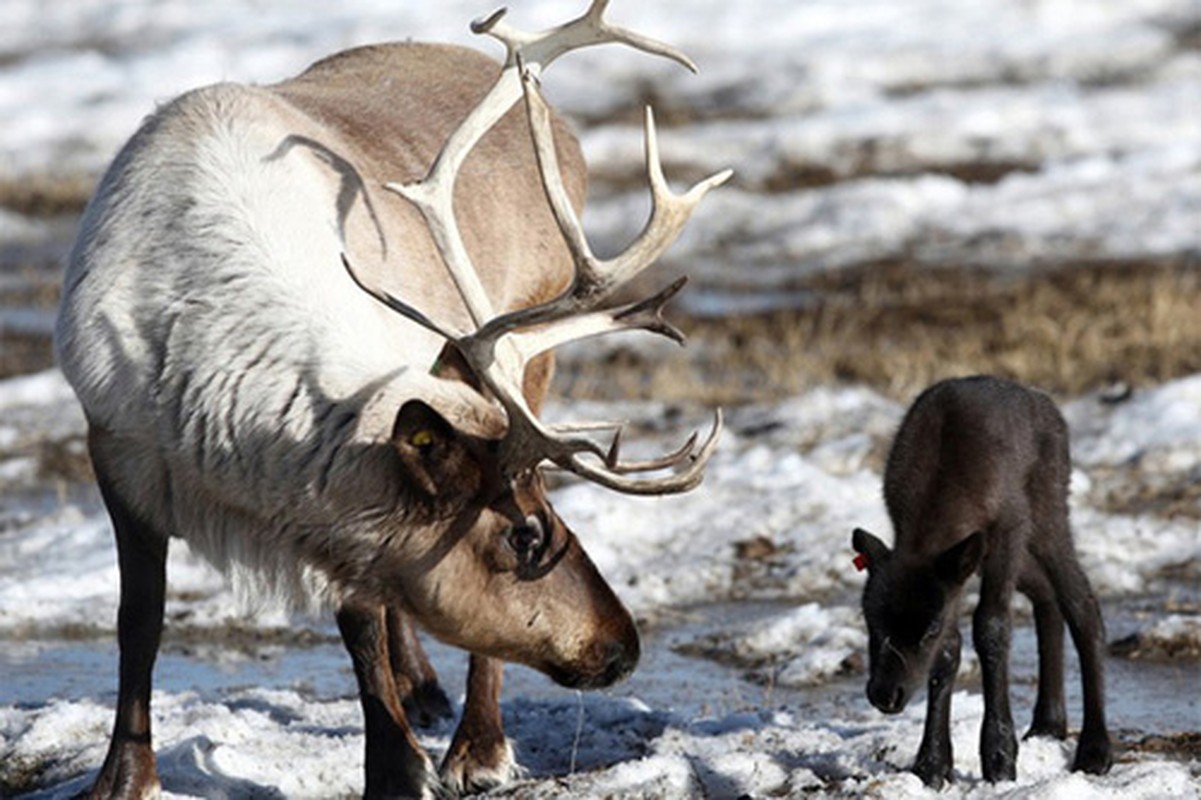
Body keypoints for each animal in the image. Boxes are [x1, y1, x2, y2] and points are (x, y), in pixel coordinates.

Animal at [850, 374, 1109, 783]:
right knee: (1046, 594)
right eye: (870, 621)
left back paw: (1095, 750)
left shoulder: (1008, 528)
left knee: (1081, 603)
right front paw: (932, 764)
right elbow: (950, 649)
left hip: (1047, 509)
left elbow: (991, 627)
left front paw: (1000, 759)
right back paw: (1048, 723)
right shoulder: (954, 570)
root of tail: (1043, 401)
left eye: (927, 629)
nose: (885, 695)